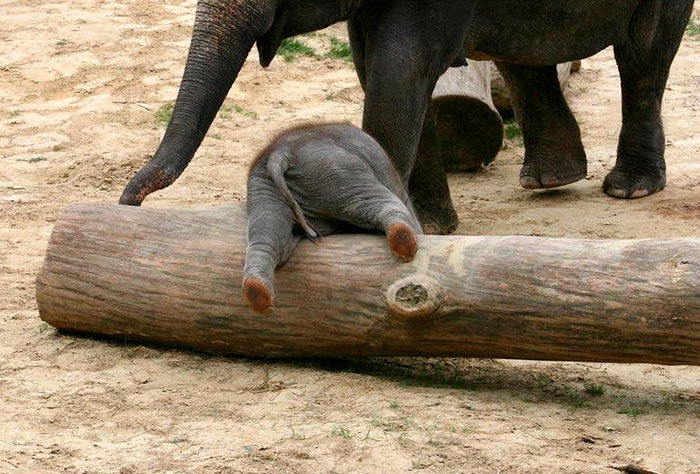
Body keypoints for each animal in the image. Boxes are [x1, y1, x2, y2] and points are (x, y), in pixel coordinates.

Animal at [118, 0, 694, 235]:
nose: (130, 201)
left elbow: (399, 72)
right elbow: (377, 68)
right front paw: (433, 225)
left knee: (643, 54)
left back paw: (630, 189)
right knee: (524, 54)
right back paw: (550, 178)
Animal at [243, 123, 421, 314]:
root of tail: (280, 154)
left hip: (265, 189)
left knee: (268, 234)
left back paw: (257, 293)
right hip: (334, 169)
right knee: (376, 201)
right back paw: (405, 244)